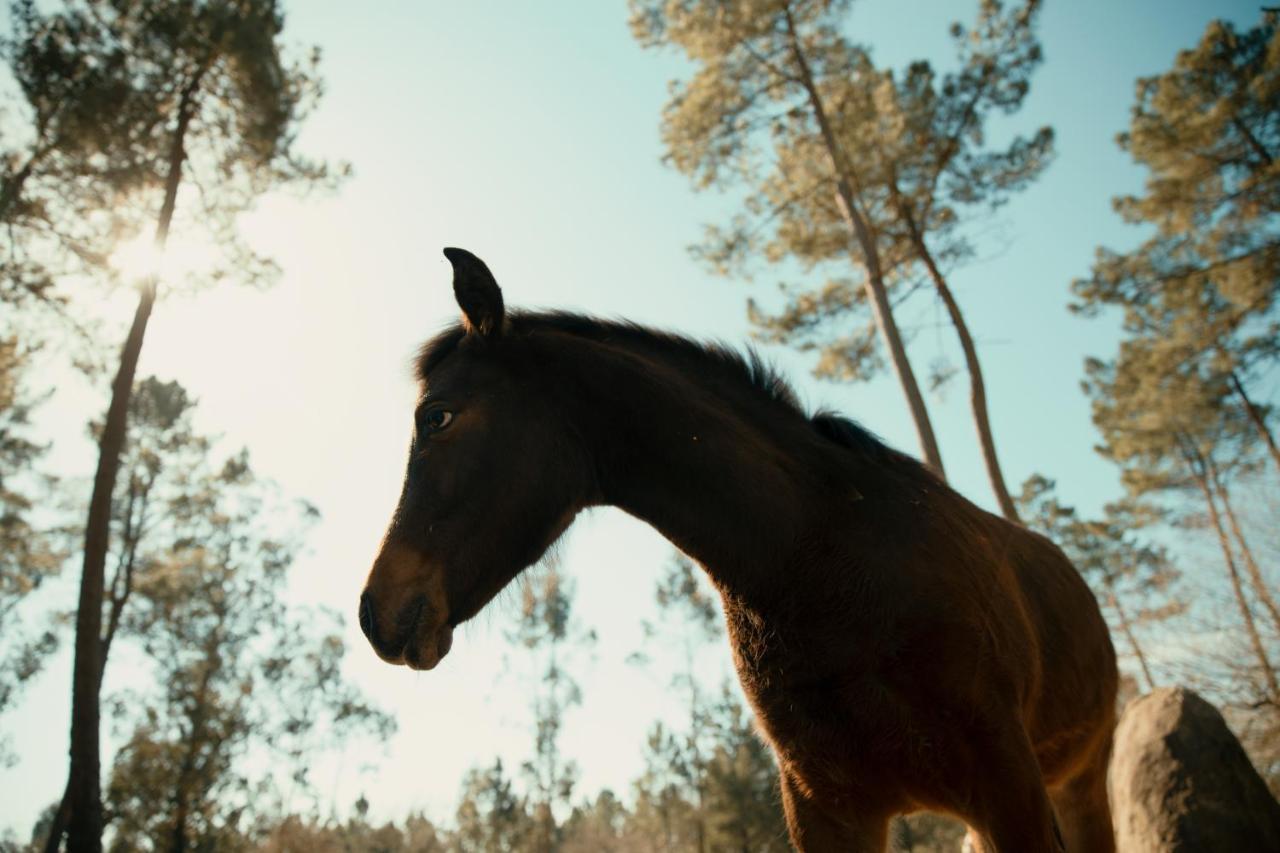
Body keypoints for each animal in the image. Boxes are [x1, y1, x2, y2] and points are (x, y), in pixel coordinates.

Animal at [360, 247, 1121, 850]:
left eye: (437, 417)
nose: (377, 613)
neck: (823, 558)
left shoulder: (1010, 793)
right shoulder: (829, 811)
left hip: (1079, 787)